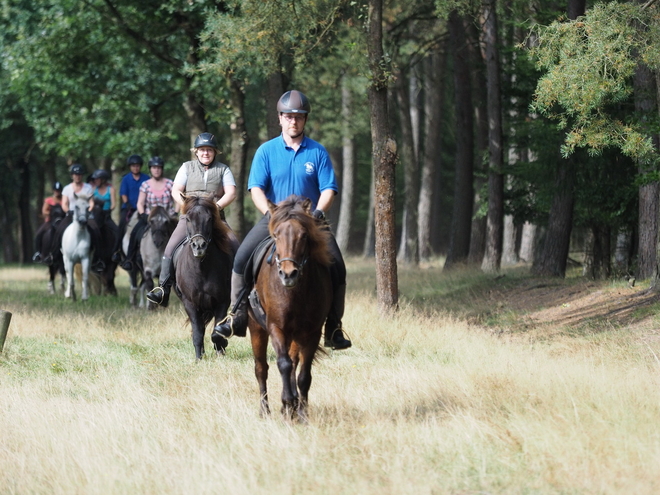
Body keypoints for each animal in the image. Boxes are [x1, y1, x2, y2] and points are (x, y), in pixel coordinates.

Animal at [175, 194, 235, 360]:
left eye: (209, 218)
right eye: (188, 219)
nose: (199, 246)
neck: (201, 270)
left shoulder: (222, 301)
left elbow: (216, 332)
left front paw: (221, 349)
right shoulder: (190, 303)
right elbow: (197, 332)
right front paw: (198, 358)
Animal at [248, 196, 332, 420]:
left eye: (303, 235)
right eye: (276, 235)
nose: (288, 274)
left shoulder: (311, 332)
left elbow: (304, 374)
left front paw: (301, 412)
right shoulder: (276, 327)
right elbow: (283, 364)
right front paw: (287, 401)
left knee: (294, 363)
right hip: (256, 329)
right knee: (261, 368)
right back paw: (265, 410)